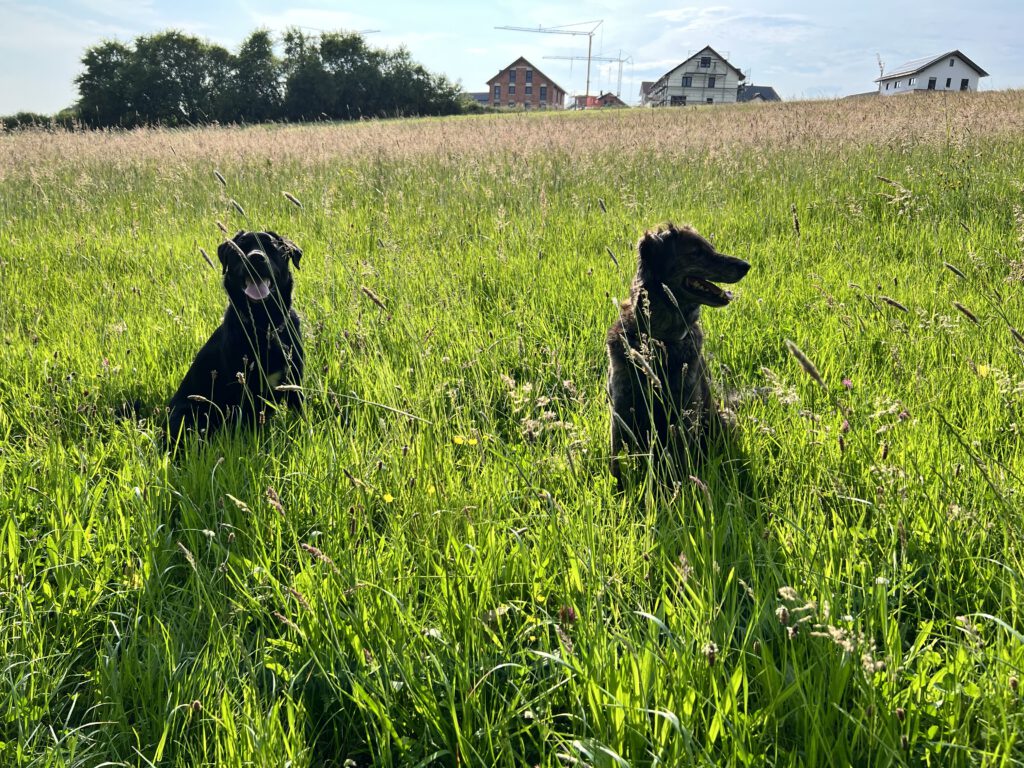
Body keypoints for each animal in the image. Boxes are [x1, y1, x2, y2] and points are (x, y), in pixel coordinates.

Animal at [166, 231, 303, 442]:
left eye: (271, 247)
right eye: (241, 248)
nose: (255, 258)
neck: (265, 326)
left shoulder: (294, 380)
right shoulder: (245, 390)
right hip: (186, 413)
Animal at [606, 222, 753, 481]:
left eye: (710, 248)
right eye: (696, 252)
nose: (745, 265)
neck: (661, 340)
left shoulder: (685, 414)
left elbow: (680, 464)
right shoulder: (621, 411)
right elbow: (617, 466)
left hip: (725, 419)